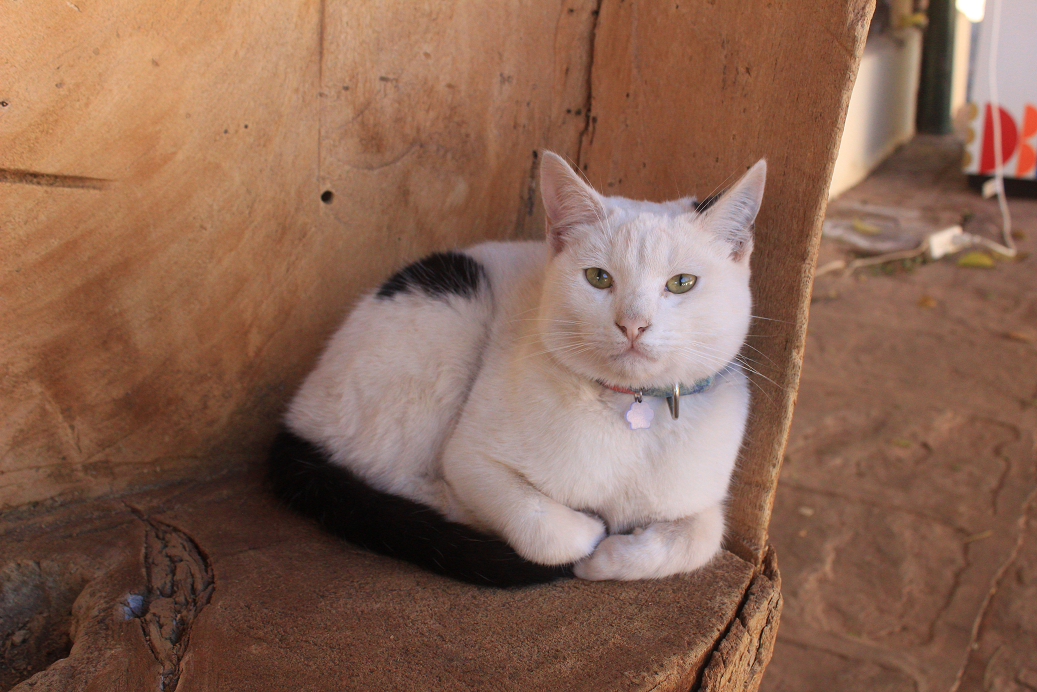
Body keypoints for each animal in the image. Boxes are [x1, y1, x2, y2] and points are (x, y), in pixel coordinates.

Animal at [271, 150, 767, 585]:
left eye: (681, 283)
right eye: (598, 278)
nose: (633, 324)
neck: (630, 412)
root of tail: (297, 412)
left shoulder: (702, 498)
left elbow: (701, 536)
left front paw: (614, 558)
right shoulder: (471, 458)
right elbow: (544, 528)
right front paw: (591, 540)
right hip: (452, 310)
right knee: (394, 478)